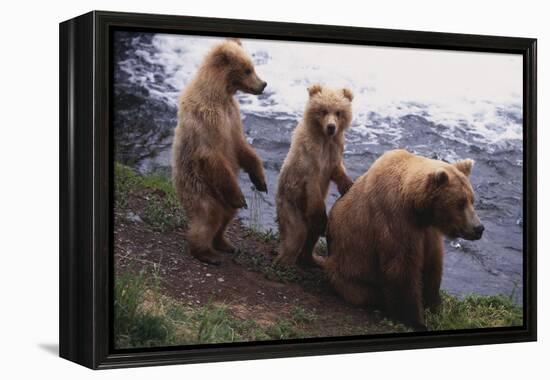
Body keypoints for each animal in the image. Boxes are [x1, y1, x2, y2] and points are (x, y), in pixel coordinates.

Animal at [171, 37, 268, 264]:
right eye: (248, 69)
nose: (263, 85)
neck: (220, 93)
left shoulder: (232, 116)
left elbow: (242, 147)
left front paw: (261, 181)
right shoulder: (207, 119)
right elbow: (212, 155)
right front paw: (241, 197)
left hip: (219, 196)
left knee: (227, 216)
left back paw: (224, 243)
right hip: (200, 188)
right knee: (208, 217)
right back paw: (207, 252)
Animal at [278, 84, 356, 266]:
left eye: (338, 112)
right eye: (323, 110)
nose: (331, 127)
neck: (324, 139)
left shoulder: (333, 152)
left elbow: (337, 170)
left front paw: (348, 185)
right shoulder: (309, 161)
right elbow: (313, 189)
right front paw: (321, 219)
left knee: (310, 236)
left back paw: (312, 259)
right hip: (291, 203)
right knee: (296, 232)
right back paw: (284, 261)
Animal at [316, 149, 486, 330]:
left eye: (472, 199)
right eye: (460, 203)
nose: (479, 228)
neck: (416, 209)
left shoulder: (428, 232)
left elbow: (433, 265)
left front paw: (436, 308)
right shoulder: (395, 221)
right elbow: (401, 269)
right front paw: (416, 321)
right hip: (348, 271)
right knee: (363, 291)